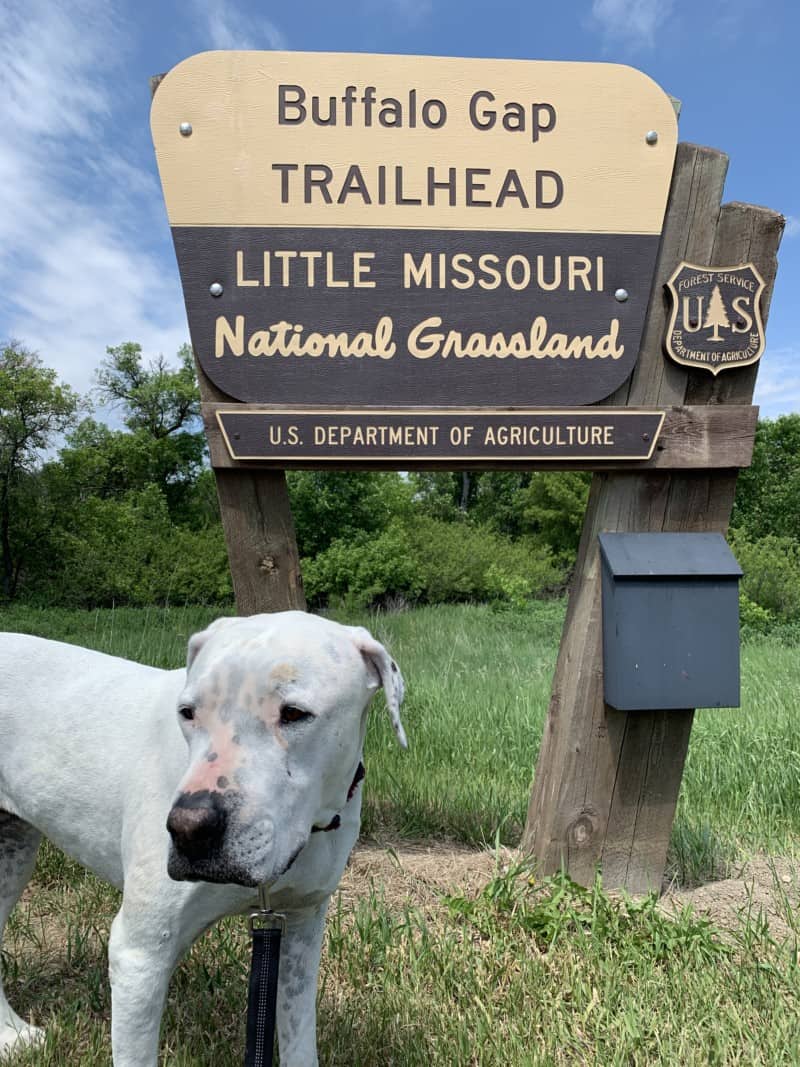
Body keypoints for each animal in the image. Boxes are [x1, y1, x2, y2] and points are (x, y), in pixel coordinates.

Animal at [0, 610, 403, 1067]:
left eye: (295, 713)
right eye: (188, 712)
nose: (187, 829)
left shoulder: (300, 928)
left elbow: (299, 1038)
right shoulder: (139, 954)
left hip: (12, 853)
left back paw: (11, 1034)